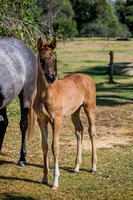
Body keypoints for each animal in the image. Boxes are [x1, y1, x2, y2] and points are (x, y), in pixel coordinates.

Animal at [33, 37, 96, 189]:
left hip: (89, 107)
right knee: (79, 131)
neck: (46, 94)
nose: (51, 77)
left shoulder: (57, 119)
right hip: (75, 111)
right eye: (41, 59)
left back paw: (93, 167)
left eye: (54, 58)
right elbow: (44, 146)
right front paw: (45, 178)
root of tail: (88, 78)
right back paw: (76, 168)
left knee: (91, 131)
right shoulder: (41, 120)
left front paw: (55, 181)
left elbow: (55, 147)